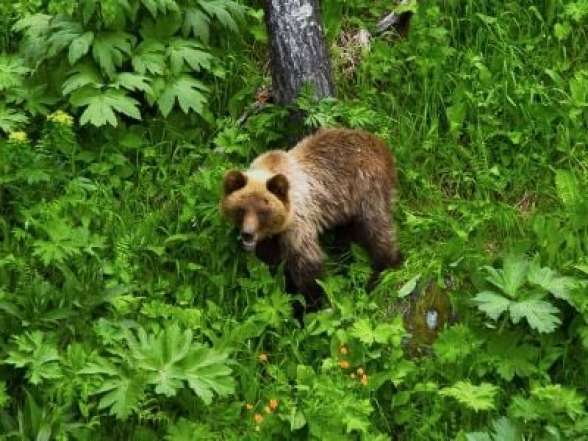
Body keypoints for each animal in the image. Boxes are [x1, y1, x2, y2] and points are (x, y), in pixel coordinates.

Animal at [219, 127, 400, 316]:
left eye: (262, 212)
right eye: (241, 210)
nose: (247, 234)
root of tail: (381, 144)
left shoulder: (298, 224)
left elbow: (307, 266)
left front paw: (309, 306)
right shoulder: (270, 239)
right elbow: (272, 262)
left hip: (367, 189)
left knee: (377, 228)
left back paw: (383, 269)